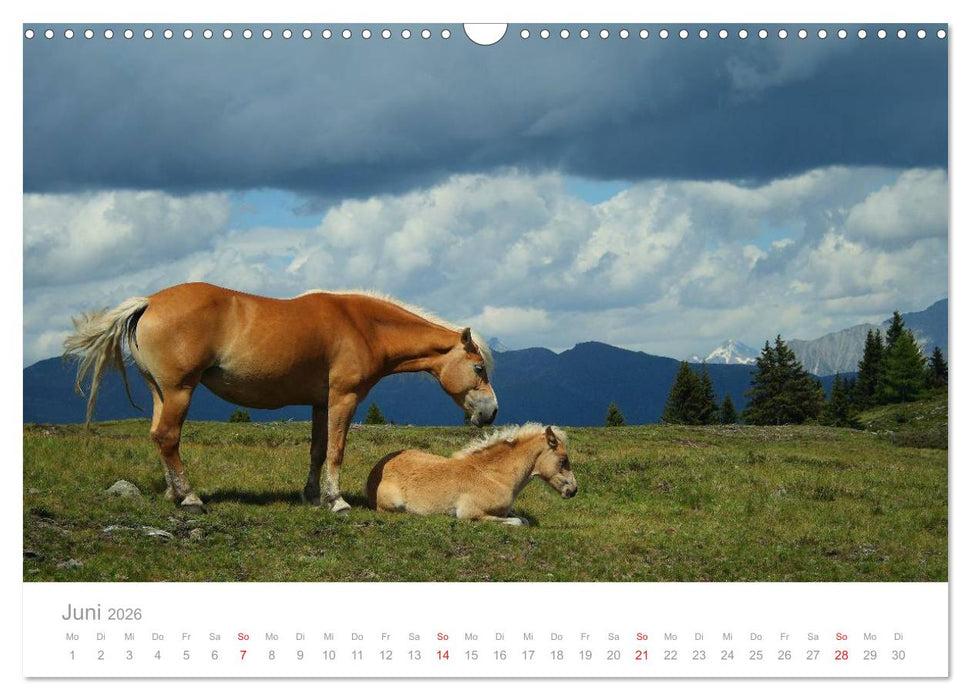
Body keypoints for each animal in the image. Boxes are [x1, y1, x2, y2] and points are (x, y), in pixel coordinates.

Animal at [63, 282, 498, 513]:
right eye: (479, 368)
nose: (492, 412)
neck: (362, 326)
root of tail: (149, 302)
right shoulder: (344, 398)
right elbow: (337, 450)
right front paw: (336, 501)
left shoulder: (321, 402)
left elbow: (318, 450)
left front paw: (312, 496)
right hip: (178, 391)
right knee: (168, 437)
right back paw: (189, 498)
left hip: (160, 392)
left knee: (158, 436)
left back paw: (173, 491)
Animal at [366, 424, 577, 524]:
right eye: (563, 459)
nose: (573, 490)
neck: (494, 476)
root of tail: (375, 471)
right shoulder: (470, 513)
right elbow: (517, 522)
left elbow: (521, 519)